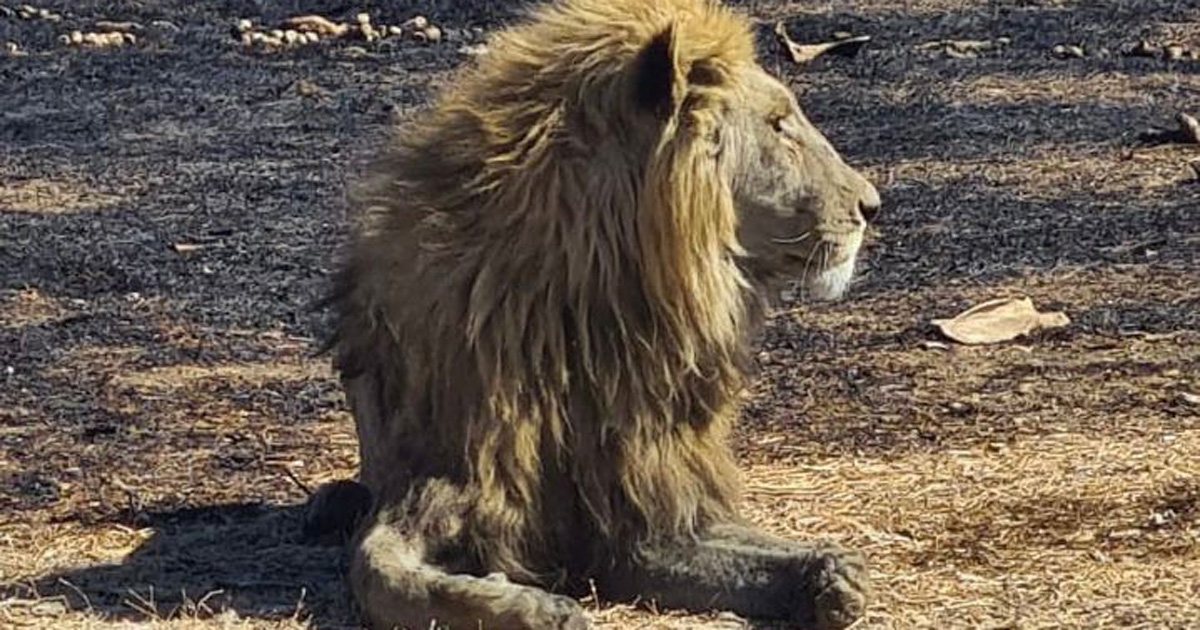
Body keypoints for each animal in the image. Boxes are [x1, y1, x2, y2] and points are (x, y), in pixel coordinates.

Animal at [316, 0, 883, 624]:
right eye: (779, 124)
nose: (872, 205)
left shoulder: (647, 504)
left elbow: (745, 552)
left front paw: (829, 573)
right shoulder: (434, 477)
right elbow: (378, 571)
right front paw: (534, 609)